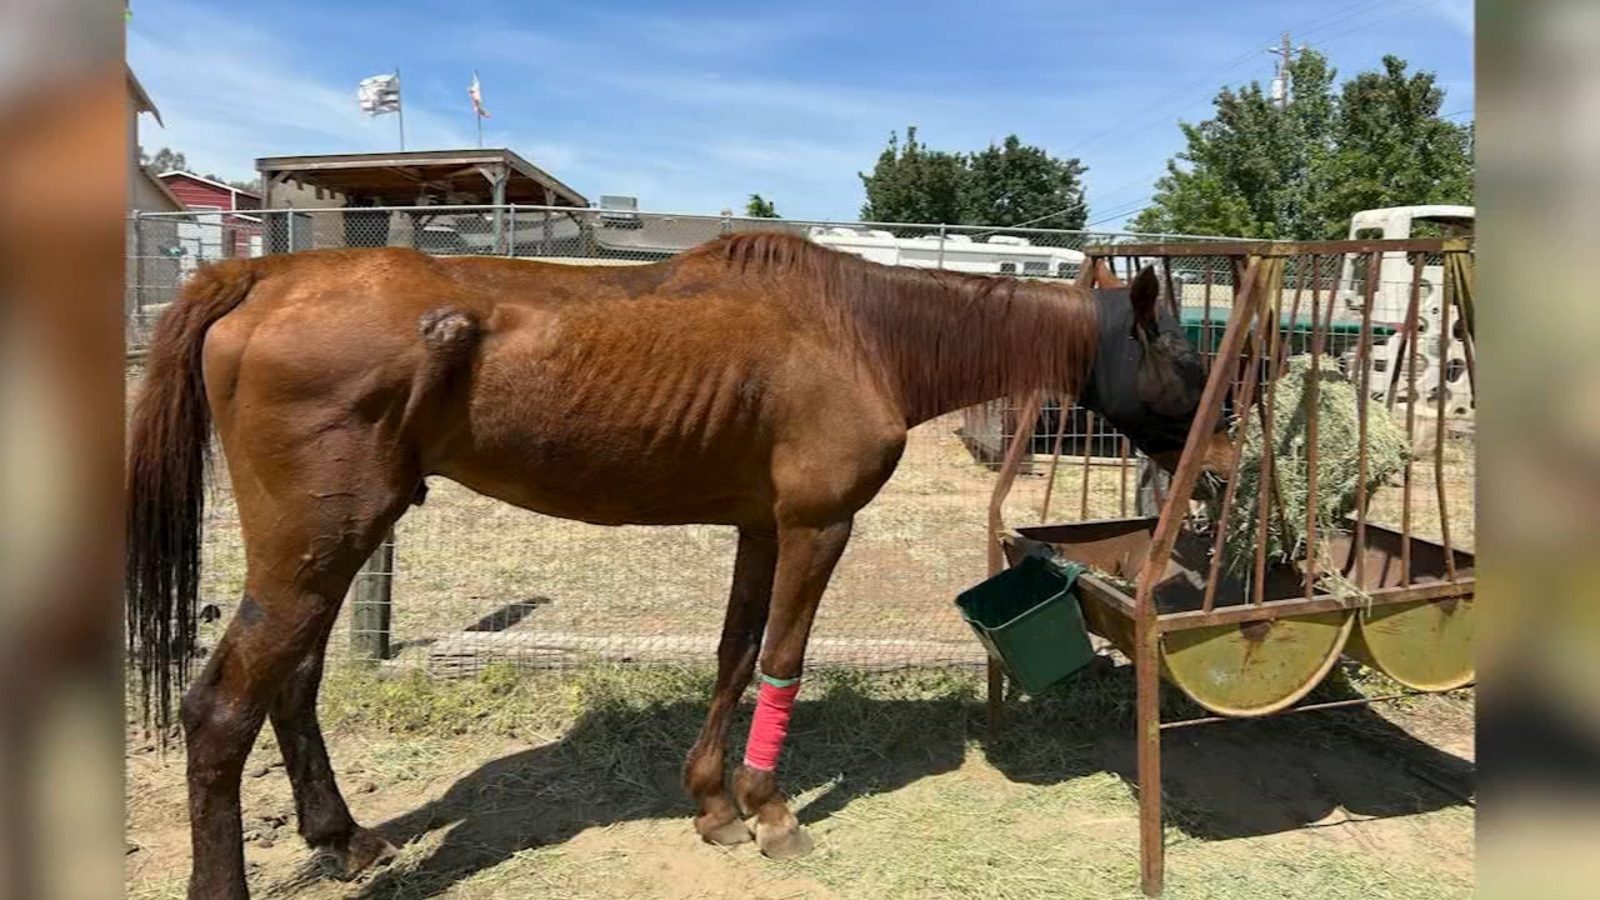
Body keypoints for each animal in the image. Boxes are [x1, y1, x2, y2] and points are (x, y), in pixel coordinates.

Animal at [125, 231, 1234, 899]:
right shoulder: (817, 527)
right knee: (221, 709)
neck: (863, 330)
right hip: (313, 551)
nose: (1225, 466)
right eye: (1186, 356)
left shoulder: (759, 527)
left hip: (330, 548)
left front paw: (711, 804)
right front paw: (770, 812)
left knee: (292, 686)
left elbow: (735, 658)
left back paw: (344, 837)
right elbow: (783, 661)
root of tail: (263, 275)